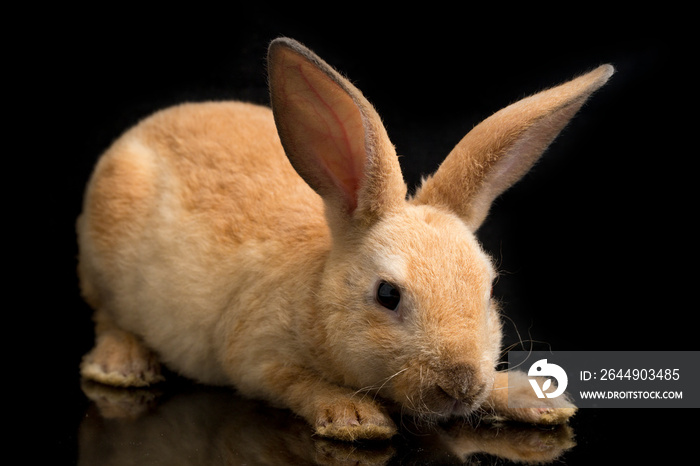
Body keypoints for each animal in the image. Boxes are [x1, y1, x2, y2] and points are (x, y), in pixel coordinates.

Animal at [76, 36, 612, 440]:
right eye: (387, 295)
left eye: (489, 290)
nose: (461, 385)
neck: (315, 293)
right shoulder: (255, 355)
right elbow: (292, 381)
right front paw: (354, 418)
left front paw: (532, 397)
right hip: (103, 264)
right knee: (107, 316)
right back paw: (121, 366)